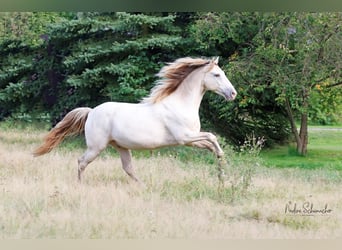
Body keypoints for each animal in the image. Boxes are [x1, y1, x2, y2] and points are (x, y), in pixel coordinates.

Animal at [34, 57, 238, 184]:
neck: (180, 104)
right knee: (81, 162)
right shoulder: (185, 137)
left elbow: (211, 144)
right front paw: (222, 170)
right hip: (96, 147)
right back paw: (80, 185)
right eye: (217, 75)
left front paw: (221, 171)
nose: (233, 93)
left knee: (128, 168)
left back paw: (143, 186)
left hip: (121, 146)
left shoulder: (191, 139)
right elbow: (212, 137)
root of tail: (91, 112)